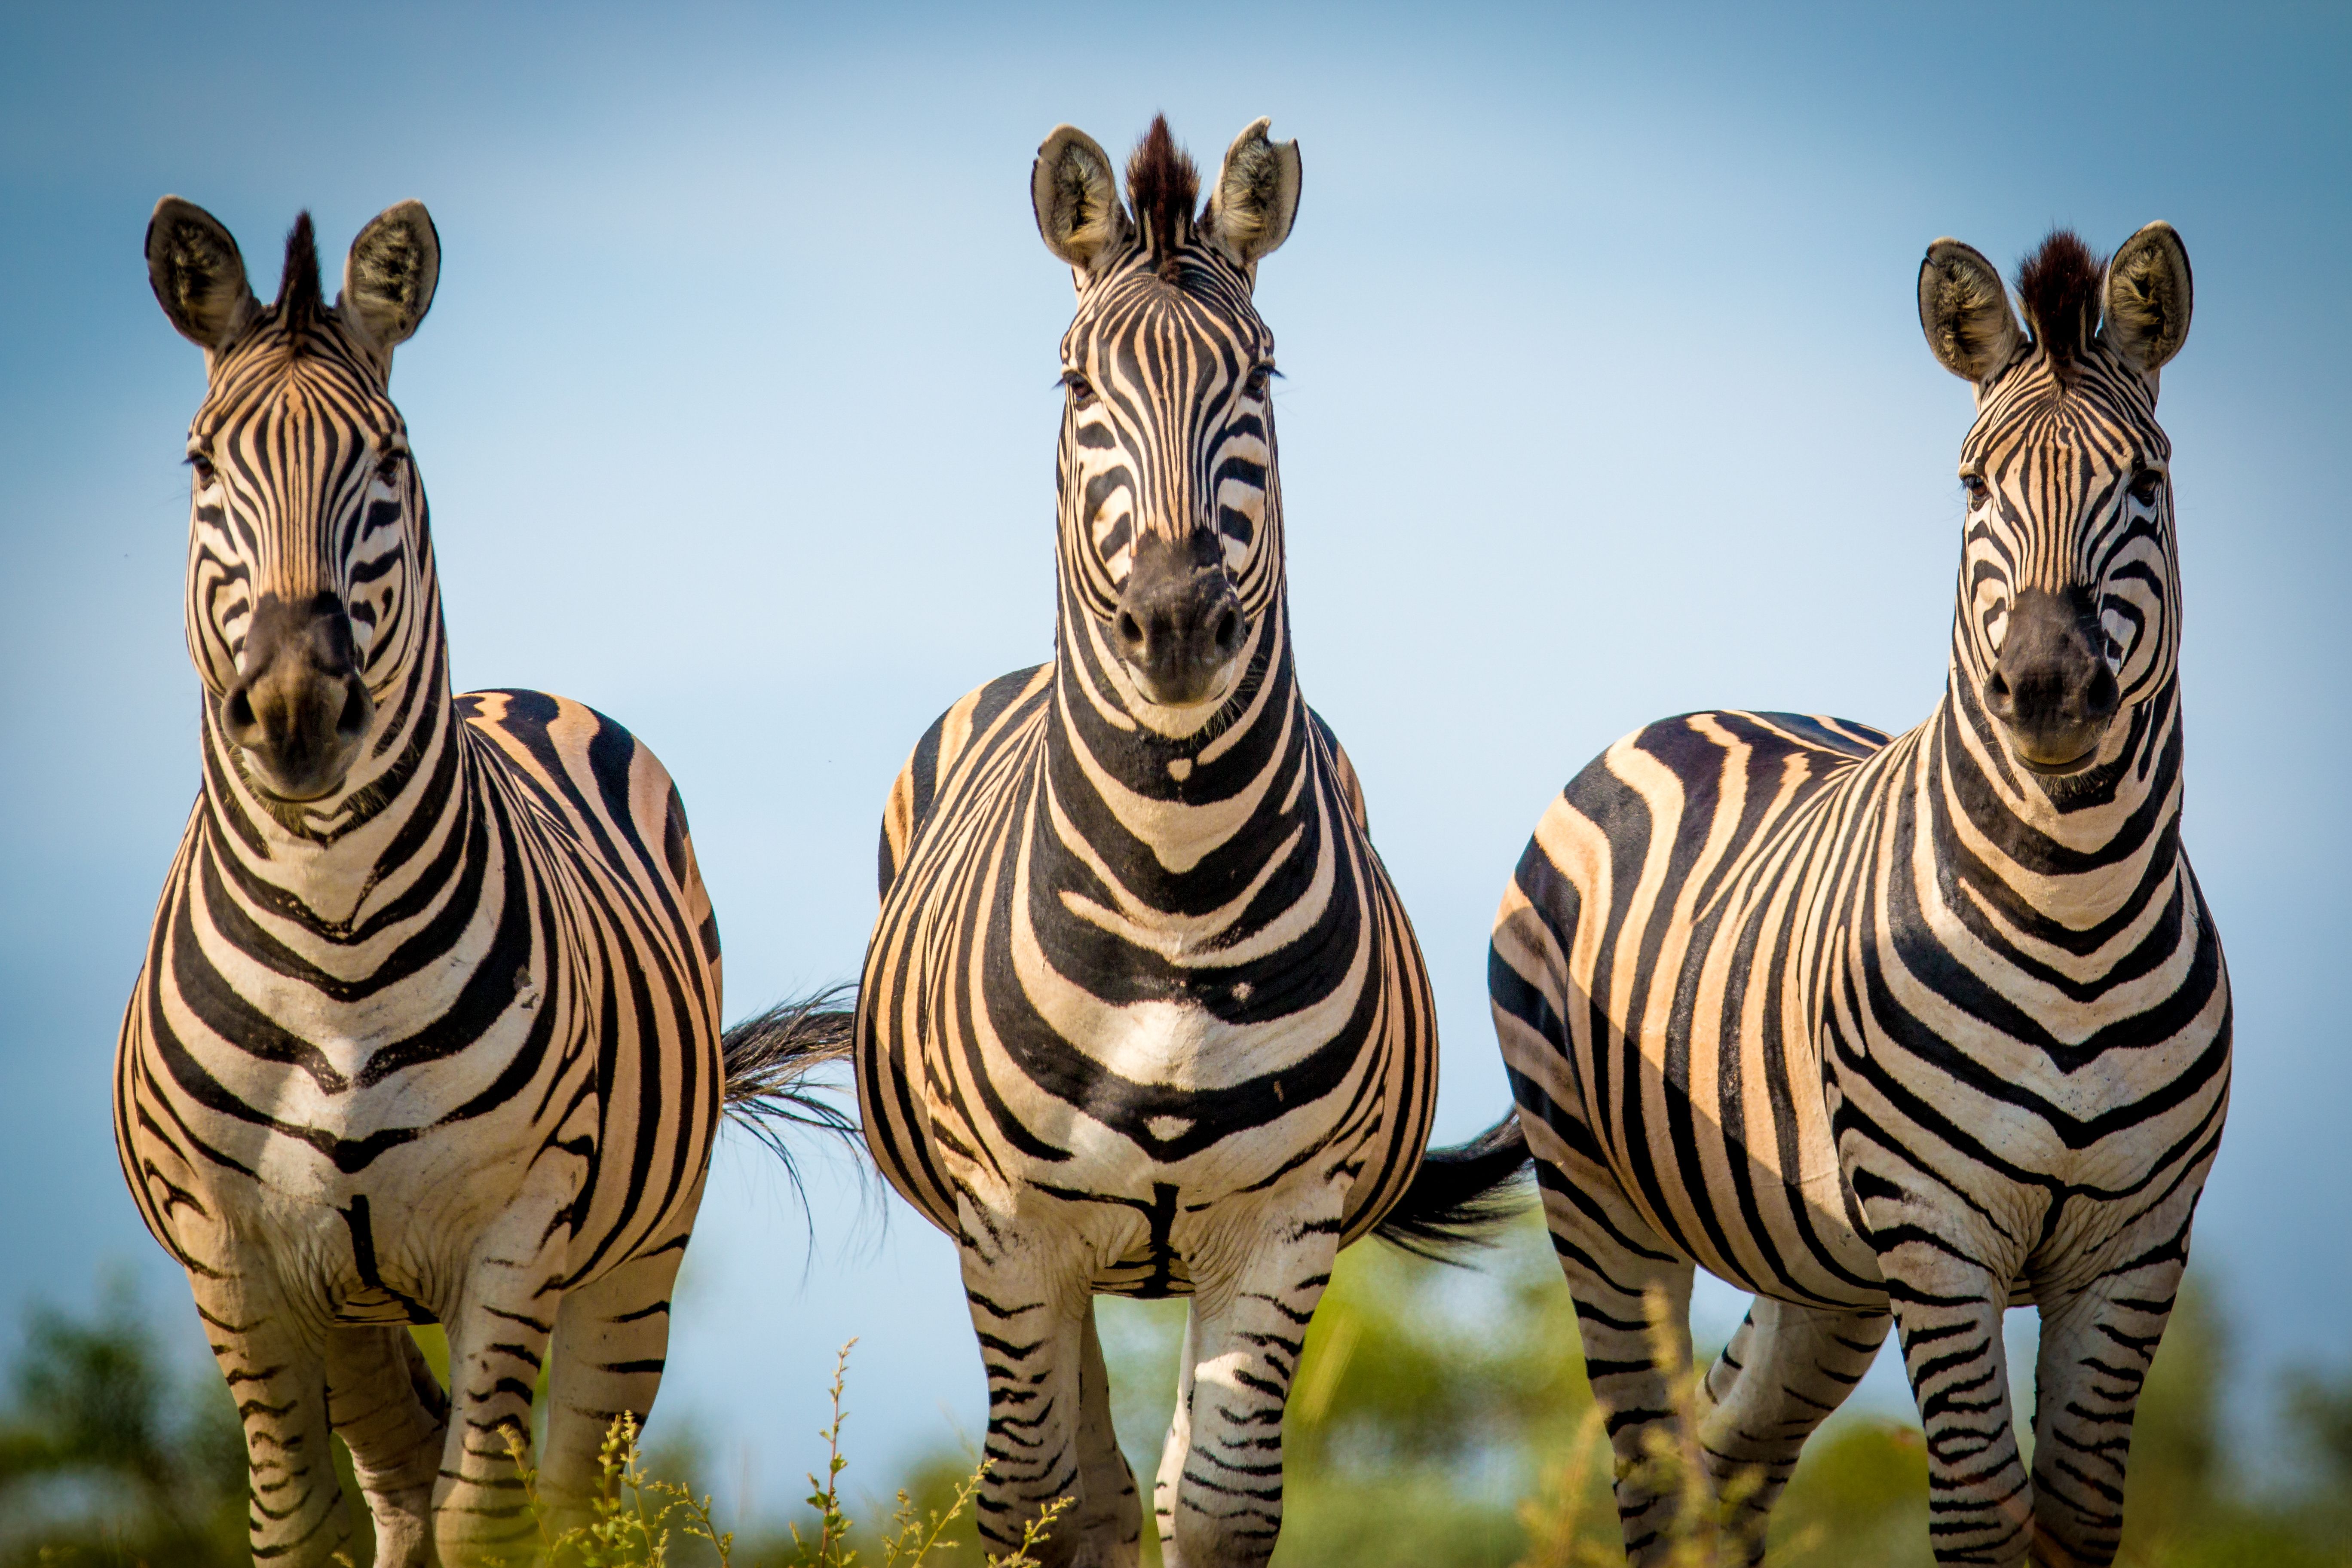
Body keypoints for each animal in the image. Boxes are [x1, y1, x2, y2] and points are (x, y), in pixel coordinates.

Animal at [116, 199, 846, 1567]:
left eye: (388, 460)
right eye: (201, 467)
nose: (295, 709)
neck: (336, 935)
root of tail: (517, 691)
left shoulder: (515, 1237)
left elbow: (488, 1525)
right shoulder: (232, 1262)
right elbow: (299, 1524)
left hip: (631, 1273)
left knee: (563, 1502)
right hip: (348, 1306)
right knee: (396, 1488)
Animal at [855, 117, 1527, 1568]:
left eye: (1260, 373)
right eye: (1074, 385)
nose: (1172, 625)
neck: (1174, 875)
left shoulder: (1287, 1226)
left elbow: (1215, 1508)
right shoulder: (1010, 1230)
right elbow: (1038, 1499)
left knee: (1132, 1484)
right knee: (1079, 1482)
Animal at [1489, 225, 2223, 1567]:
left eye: (2144, 482)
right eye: (1974, 488)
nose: (2046, 687)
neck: (2077, 909)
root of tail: (1699, 710)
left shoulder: (2136, 1246)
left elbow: (2077, 1516)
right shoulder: (1937, 1230)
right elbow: (1979, 1512)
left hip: (1818, 1269)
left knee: (1726, 1460)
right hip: (1598, 1196)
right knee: (1655, 1473)